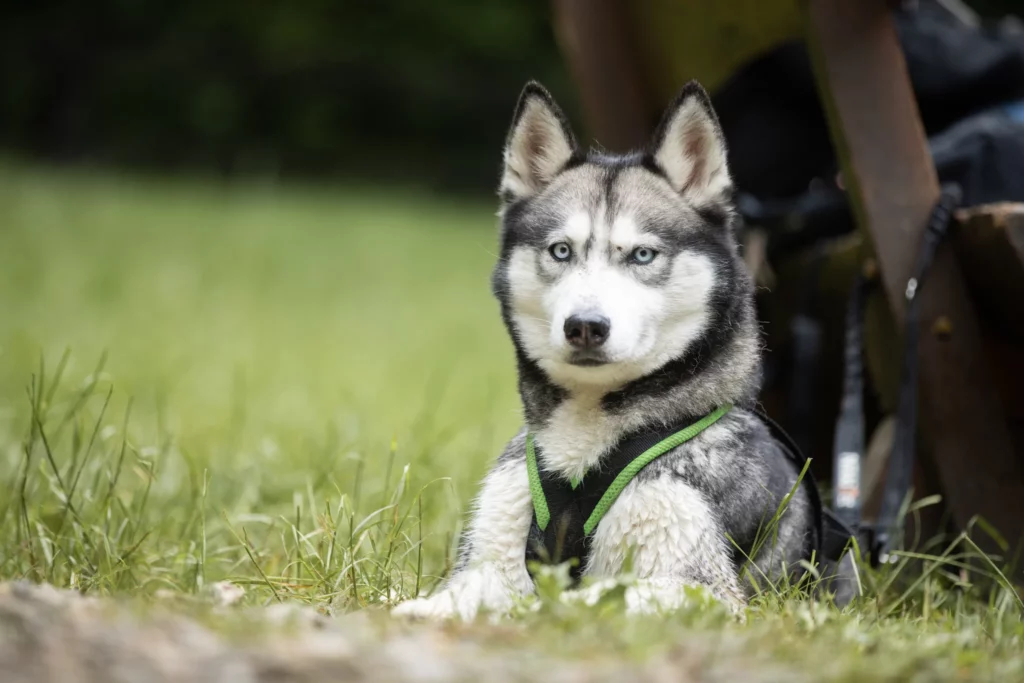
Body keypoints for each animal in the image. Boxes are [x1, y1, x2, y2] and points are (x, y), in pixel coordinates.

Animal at [391, 82, 823, 622]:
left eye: (642, 254)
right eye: (560, 250)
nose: (585, 327)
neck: (582, 445)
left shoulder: (705, 587)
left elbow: (592, 596)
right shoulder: (494, 555)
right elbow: (457, 592)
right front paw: (415, 609)